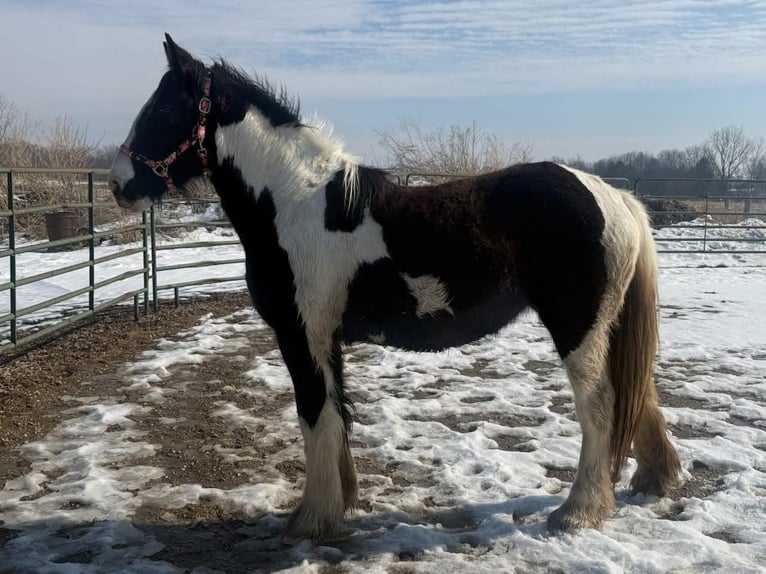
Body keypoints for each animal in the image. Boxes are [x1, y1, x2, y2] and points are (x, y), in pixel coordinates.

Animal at [109, 34, 681, 542]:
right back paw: (653, 480)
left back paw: (578, 511)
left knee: (601, 406)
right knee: (638, 394)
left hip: (576, 326)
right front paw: (338, 504)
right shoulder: (325, 339)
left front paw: (311, 520)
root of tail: (614, 198)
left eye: (164, 110)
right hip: (605, 326)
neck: (295, 205)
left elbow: (314, 415)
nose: (118, 184)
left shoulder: (301, 335)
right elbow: (336, 415)